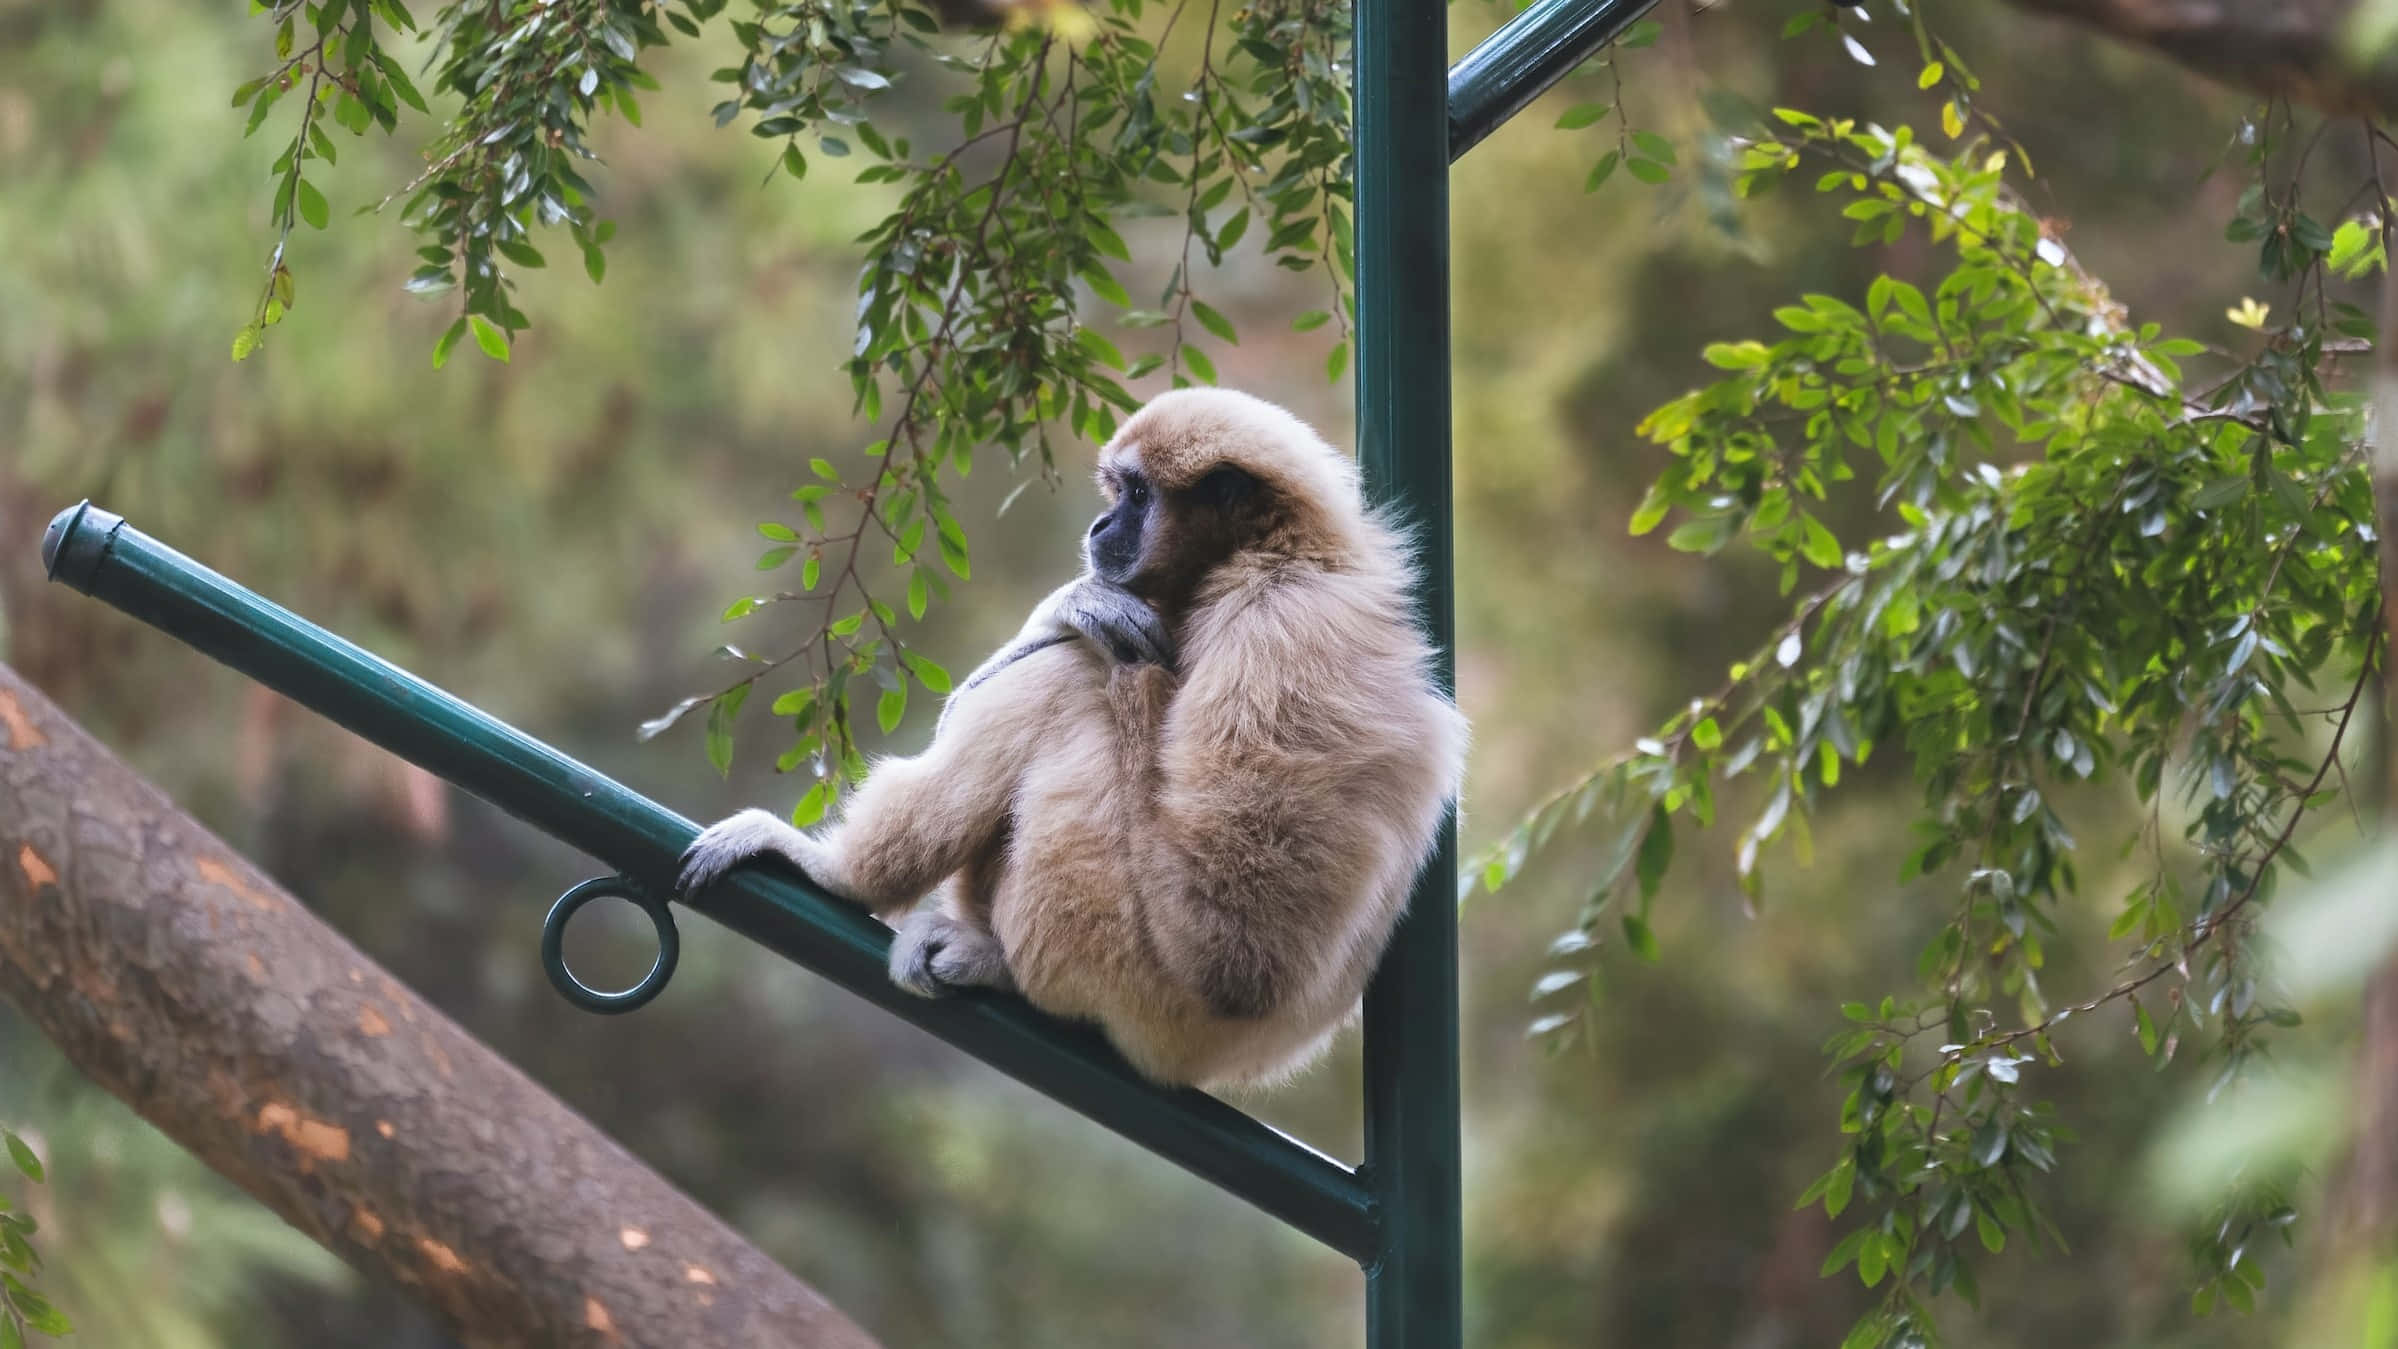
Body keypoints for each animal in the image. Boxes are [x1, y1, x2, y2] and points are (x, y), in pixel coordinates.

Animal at [676, 388, 1468, 1090]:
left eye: (1138, 495)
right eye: (1117, 490)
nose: (1099, 524)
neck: (1283, 554)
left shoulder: (1280, 632)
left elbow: (1237, 951)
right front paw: (1072, 604)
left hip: (1122, 965)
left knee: (1068, 678)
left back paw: (842, 877)